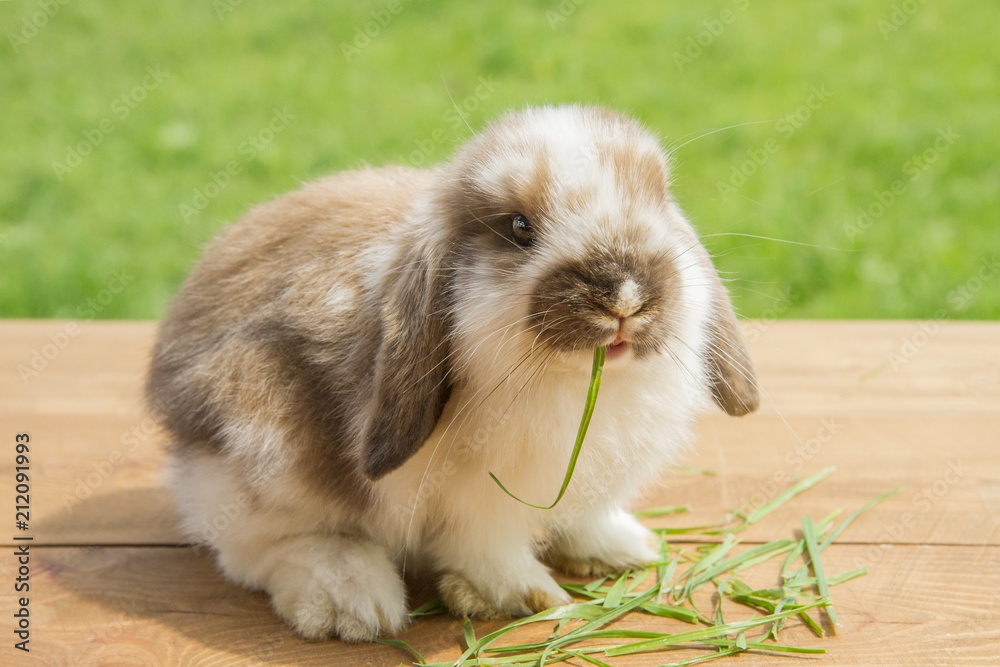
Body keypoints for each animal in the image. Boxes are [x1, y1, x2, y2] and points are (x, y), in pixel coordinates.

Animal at [145, 104, 759, 642]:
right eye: (519, 226)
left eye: (658, 201)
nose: (625, 295)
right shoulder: (478, 501)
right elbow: (487, 550)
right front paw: (525, 597)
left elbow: (582, 516)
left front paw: (620, 547)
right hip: (261, 435)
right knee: (255, 546)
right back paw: (352, 603)